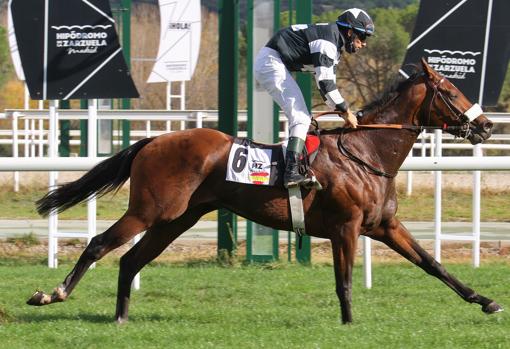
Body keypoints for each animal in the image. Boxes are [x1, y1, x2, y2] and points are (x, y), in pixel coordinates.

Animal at [27, 58, 502, 322]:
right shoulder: (346, 228)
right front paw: (350, 324)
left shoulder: (384, 226)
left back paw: (121, 318)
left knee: (129, 260)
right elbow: (345, 281)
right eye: (452, 91)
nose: (486, 125)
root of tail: (153, 140)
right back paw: (52, 294)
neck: (367, 152)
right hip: (149, 211)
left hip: (176, 220)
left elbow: (433, 265)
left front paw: (485, 301)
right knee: (98, 244)